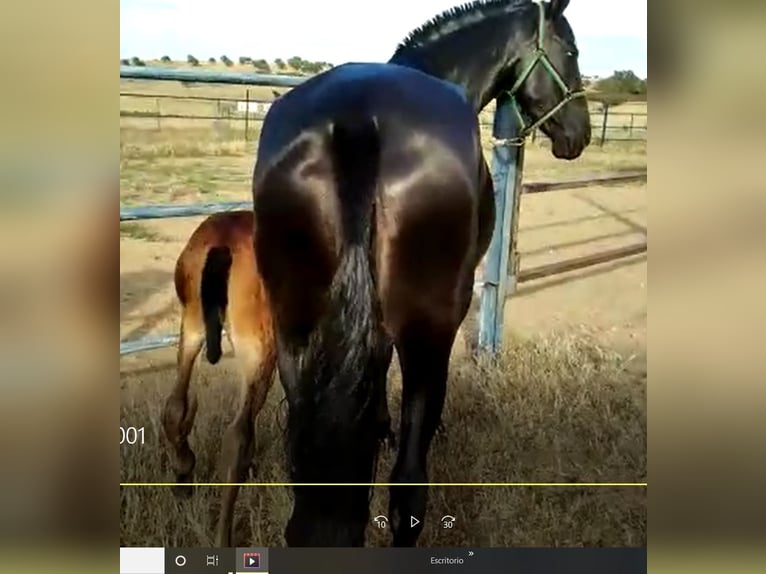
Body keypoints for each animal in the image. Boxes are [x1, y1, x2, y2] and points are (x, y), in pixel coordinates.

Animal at [160, 210, 276, 546]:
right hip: (259, 350)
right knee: (238, 436)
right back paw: (223, 537)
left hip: (192, 326)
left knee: (175, 407)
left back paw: (183, 477)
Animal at [251, 0, 590, 547]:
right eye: (572, 50)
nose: (578, 134)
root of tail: (356, 120)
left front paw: (378, 425)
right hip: (430, 332)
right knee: (408, 487)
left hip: (294, 330)